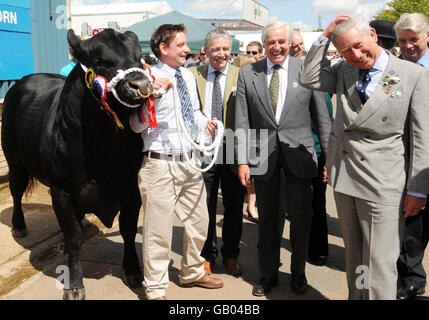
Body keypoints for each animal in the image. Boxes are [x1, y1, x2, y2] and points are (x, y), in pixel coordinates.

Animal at [0, 29, 154, 300]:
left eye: (139, 58)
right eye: (102, 61)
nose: (141, 85)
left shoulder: (132, 190)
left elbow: (127, 230)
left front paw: (133, 270)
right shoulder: (62, 191)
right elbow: (74, 239)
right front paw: (74, 285)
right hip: (14, 159)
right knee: (16, 192)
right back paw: (19, 226)